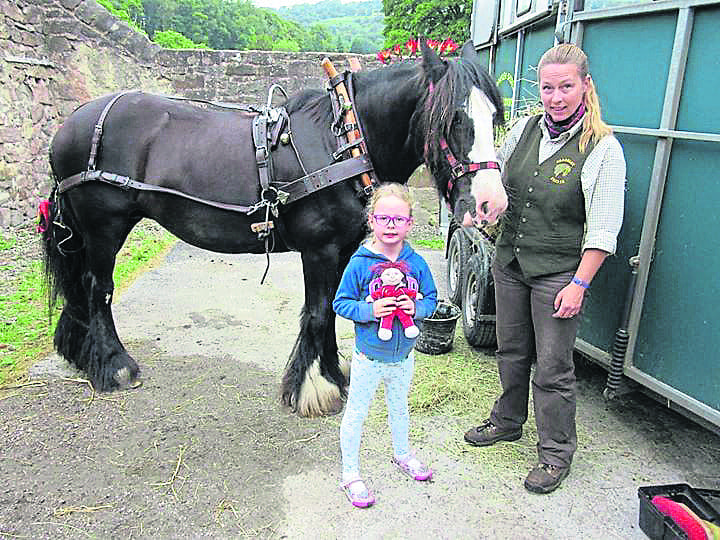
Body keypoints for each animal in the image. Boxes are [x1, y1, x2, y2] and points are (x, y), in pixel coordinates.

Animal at [43, 41, 506, 418]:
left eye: (494, 116)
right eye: (454, 119)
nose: (491, 202)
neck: (343, 141)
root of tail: (70, 124)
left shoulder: (342, 249)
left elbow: (334, 308)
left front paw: (333, 375)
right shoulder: (319, 249)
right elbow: (317, 312)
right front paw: (313, 388)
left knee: (81, 286)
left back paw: (80, 350)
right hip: (104, 227)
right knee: (98, 288)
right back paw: (114, 365)